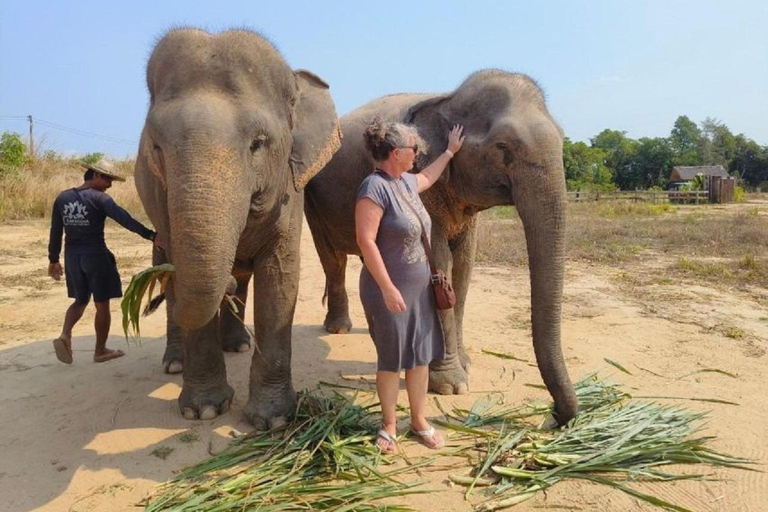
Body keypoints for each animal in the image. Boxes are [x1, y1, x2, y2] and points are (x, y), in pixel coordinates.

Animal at [135, 29, 342, 428]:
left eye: (258, 144)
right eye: (155, 147)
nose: (226, 284)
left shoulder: (290, 191)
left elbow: (279, 278)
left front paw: (273, 420)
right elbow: (183, 276)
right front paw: (204, 410)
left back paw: (238, 343)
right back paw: (176, 363)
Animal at [304, 71, 580, 424]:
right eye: (503, 146)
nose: (556, 416)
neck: (447, 99)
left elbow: (463, 268)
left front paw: (466, 364)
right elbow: (438, 263)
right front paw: (451, 386)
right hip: (312, 198)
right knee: (333, 259)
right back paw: (339, 329)